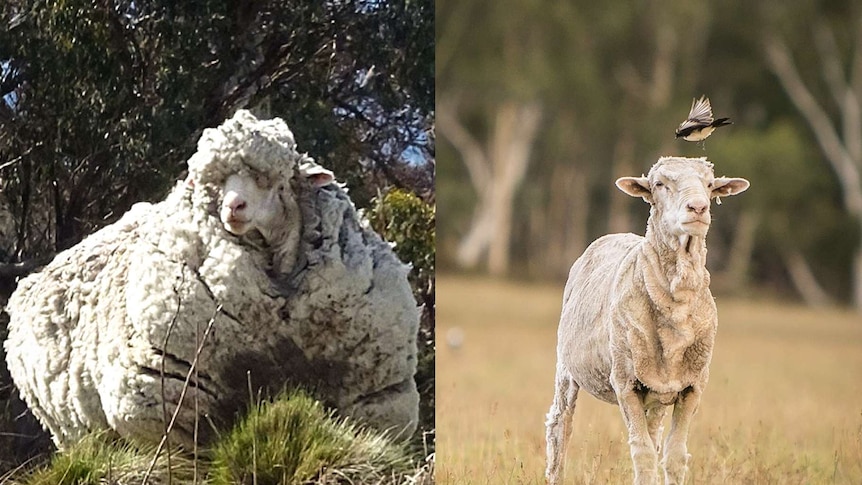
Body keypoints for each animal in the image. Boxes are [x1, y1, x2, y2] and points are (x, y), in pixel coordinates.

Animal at [3, 108, 422, 446]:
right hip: (75, 432)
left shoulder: (372, 398)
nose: (234, 207)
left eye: (275, 181)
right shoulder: (172, 403)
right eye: (215, 183)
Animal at [548, 158, 748, 484]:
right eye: (659, 184)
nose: (698, 207)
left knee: (654, 436)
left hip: (656, 393)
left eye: (709, 184)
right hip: (567, 366)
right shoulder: (625, 382)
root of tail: (616, 234)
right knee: (560, 425)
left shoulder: (693, 386)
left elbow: (674, 456)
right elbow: (642, 454)